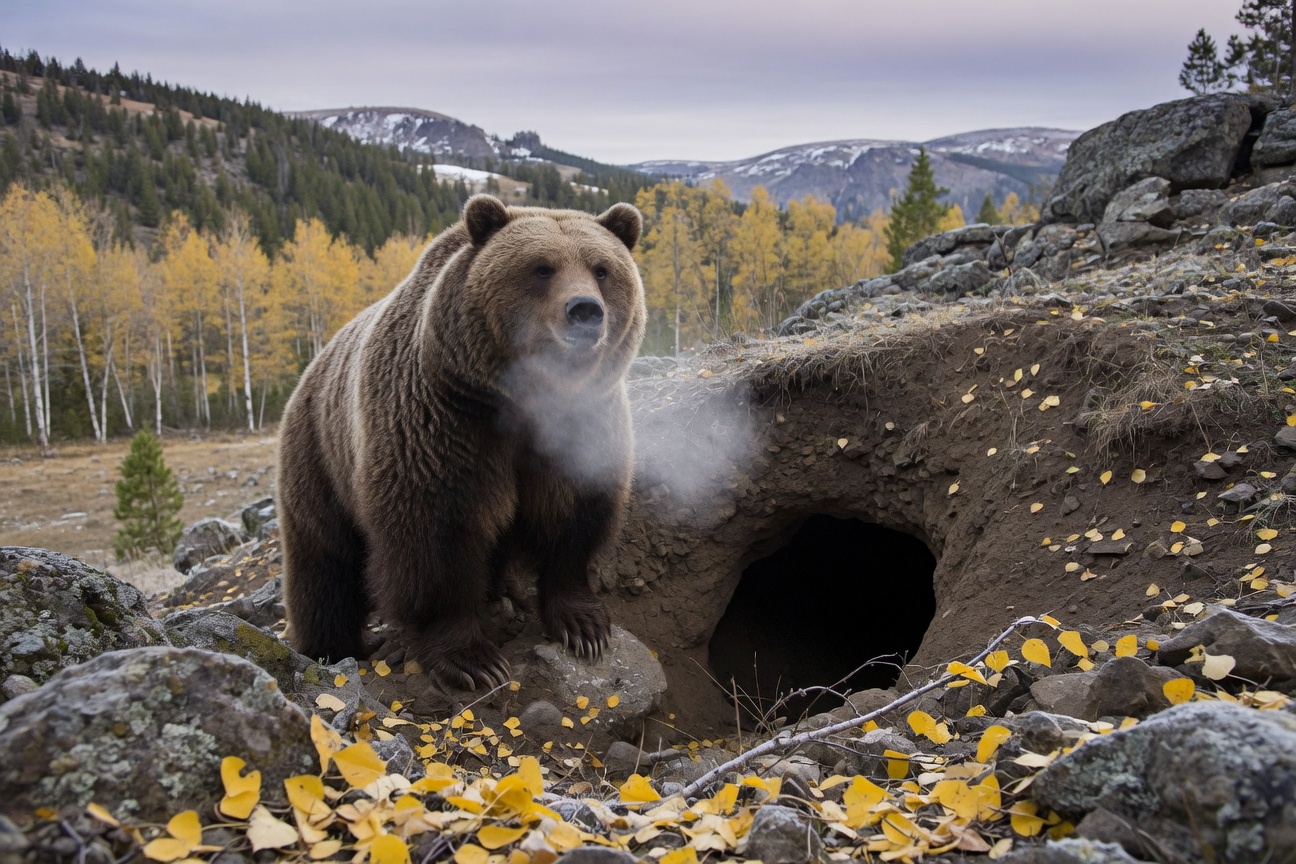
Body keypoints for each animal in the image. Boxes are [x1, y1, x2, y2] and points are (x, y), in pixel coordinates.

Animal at [276, 194, 646, 689]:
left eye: (602, 269)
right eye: (541, 268)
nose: (585, 310)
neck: (525, 401)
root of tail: (312, 367)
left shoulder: (582, 423)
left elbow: (573, 514)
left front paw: (584, 626)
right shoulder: (444, 422)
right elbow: (438, 534)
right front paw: (473, 659)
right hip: (319, 455)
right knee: (324, 564)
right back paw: (328, 648)